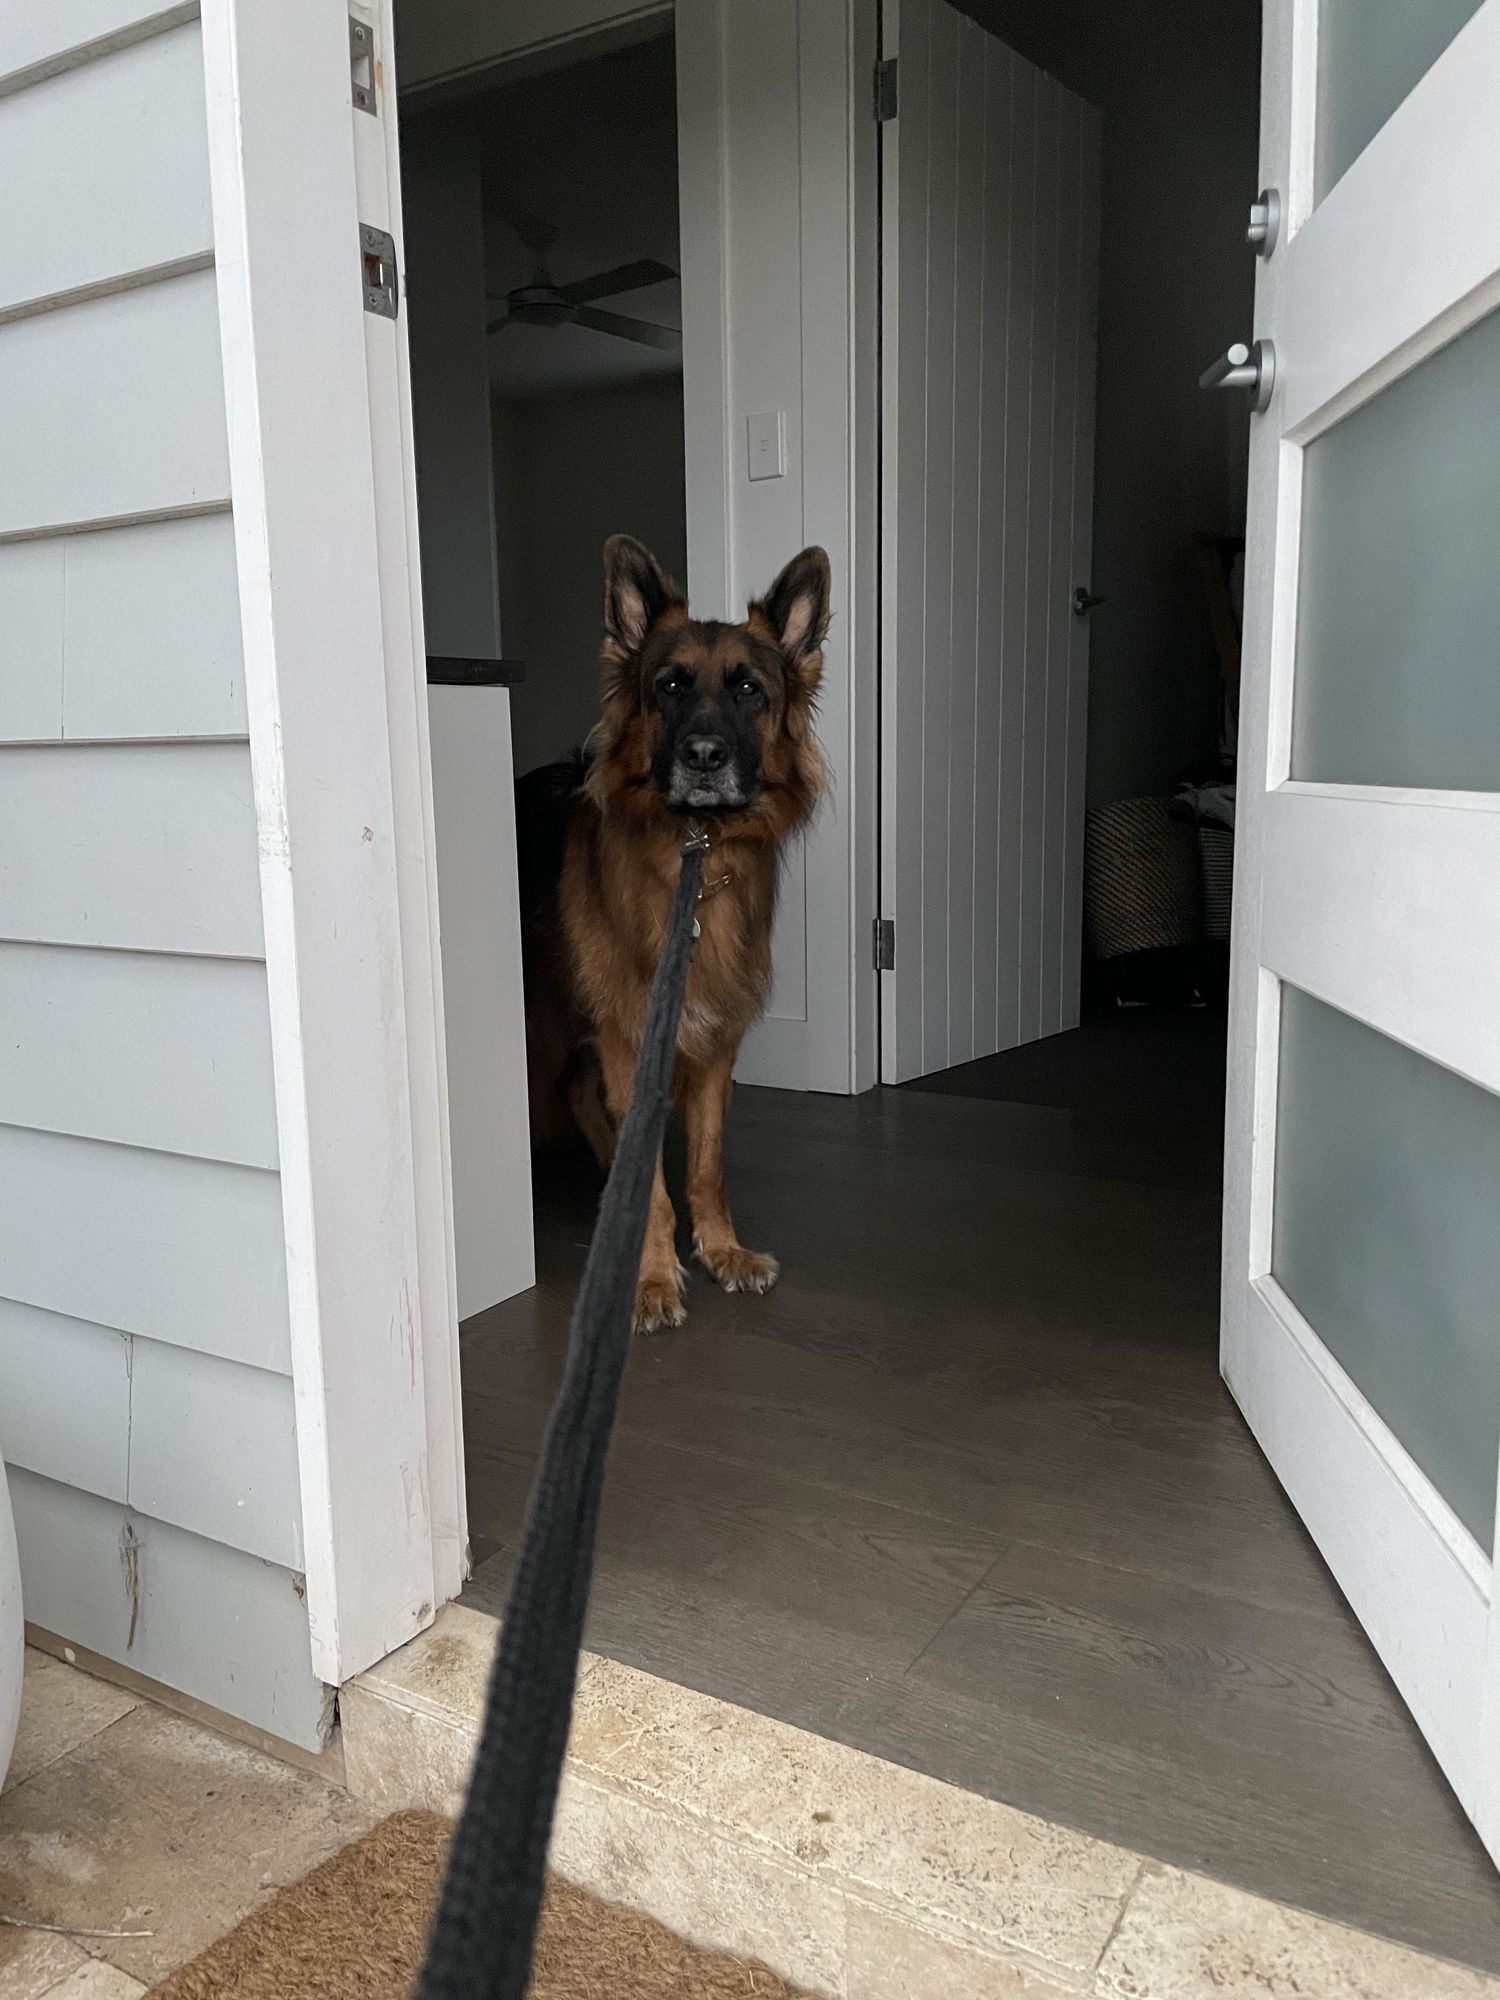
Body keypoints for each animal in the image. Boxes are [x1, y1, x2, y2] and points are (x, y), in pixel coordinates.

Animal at [524, 532, 836, 1328]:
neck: (698, 850)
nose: (703, 757)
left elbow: (705, 1167)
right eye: (668, 686)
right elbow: (660, 1190)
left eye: (748, 690)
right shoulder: (630, 1040)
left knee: (579, 1093)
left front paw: (722, 1250)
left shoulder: (714, 1042)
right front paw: (652, 1276)